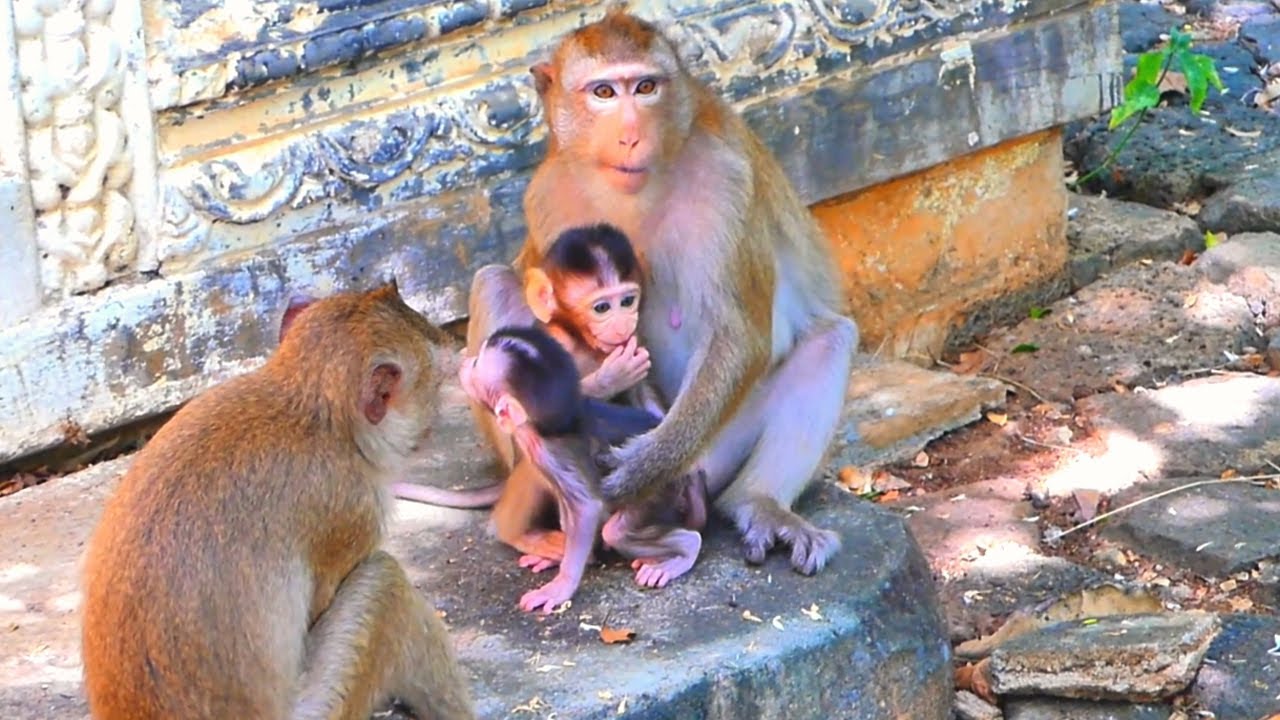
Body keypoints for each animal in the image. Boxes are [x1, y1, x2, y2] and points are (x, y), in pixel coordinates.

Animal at [460, 323, 706, 611]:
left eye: (477, 364)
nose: (464, 364)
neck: (539, 429)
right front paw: (558, 556)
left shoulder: (555, 455)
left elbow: (587, 508)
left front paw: (561, 586)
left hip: (660, 486)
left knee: (616, 532)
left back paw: (685, 549)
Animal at [494, 8, 862, 576]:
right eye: (603, 92)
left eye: (645, 87)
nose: (630, 136)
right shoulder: (547, 197)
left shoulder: (726, 183)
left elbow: (738, 335)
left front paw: (644, 465)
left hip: (715, 452)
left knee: (829, 340)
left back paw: (754, 502)